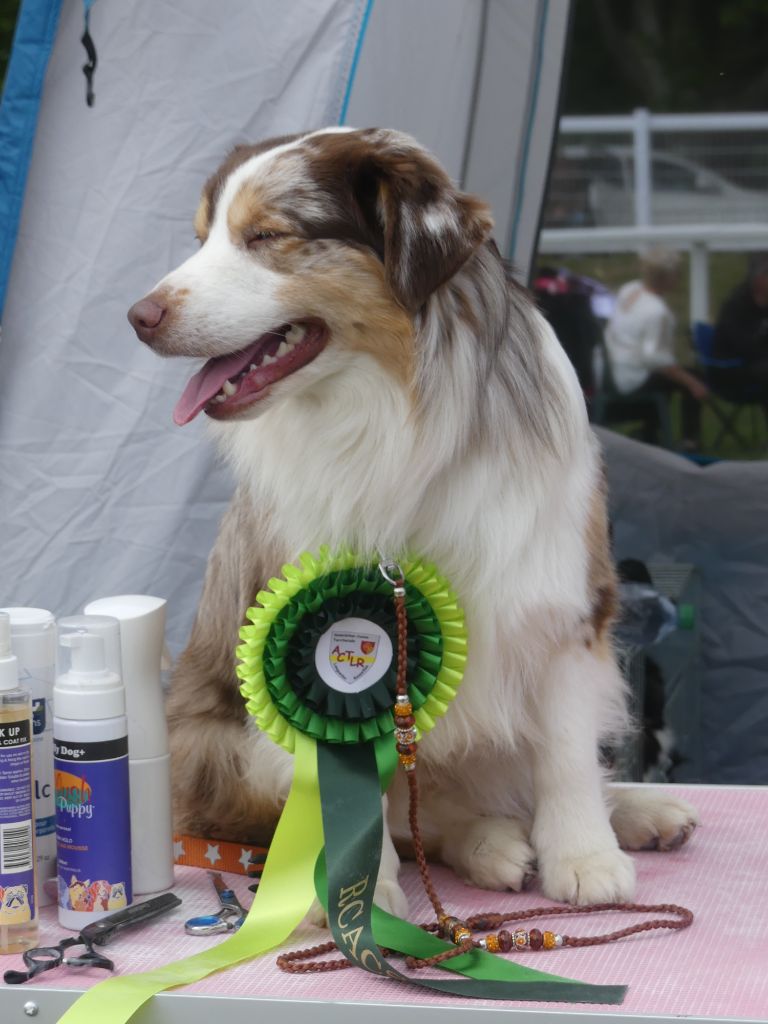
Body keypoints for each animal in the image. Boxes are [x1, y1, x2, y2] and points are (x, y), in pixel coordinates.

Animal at [129, 128, 700, 913]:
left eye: (266, 236)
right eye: (201, 239)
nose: (138, 317)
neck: (396, 412)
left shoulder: (559, 596)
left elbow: (564, 750)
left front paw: (585, 856)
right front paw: (361, 896)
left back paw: (635, 814)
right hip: (223, 747)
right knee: (417, 815)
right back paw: (491, 844)